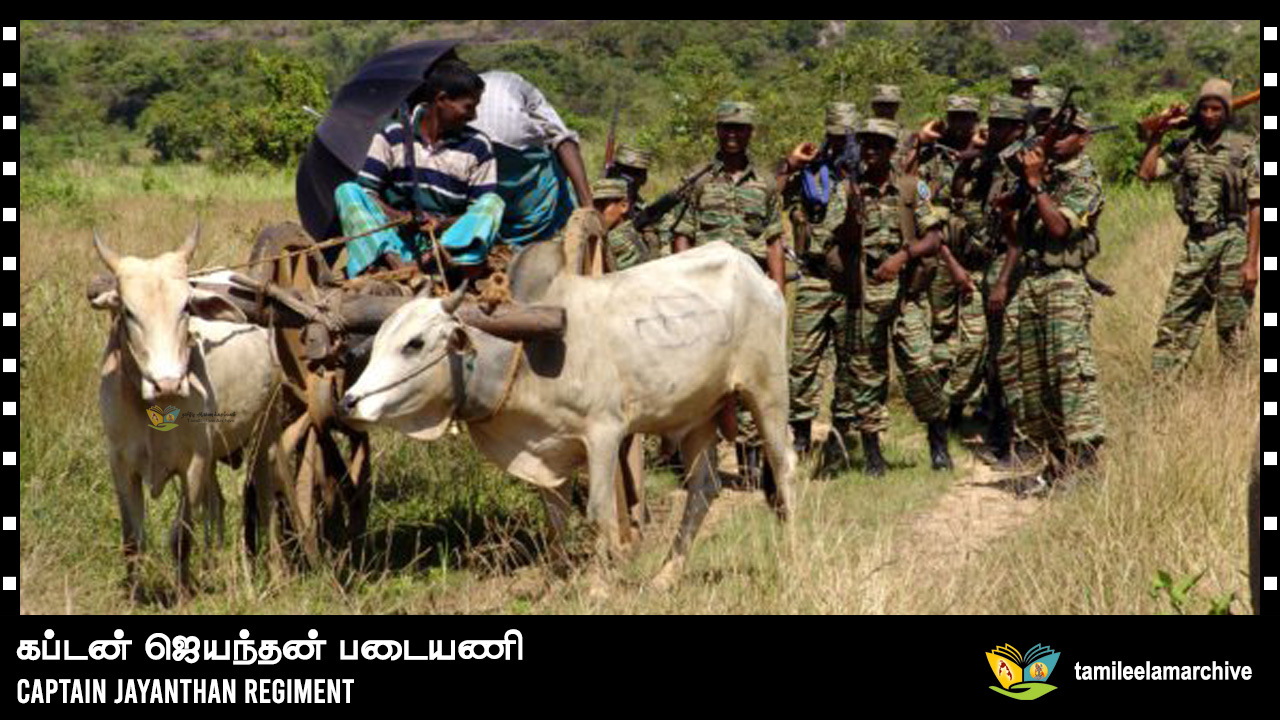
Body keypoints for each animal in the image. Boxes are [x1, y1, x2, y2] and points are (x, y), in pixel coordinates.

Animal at [90, 225, 285, 595]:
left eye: (185, 308)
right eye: (128, 312)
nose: (167, 383)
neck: (150, 406)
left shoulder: (192, 464)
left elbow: (180, 537)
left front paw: (182, 595)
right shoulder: (120, 464)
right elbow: (133, 540)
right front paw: (134, 594)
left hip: (264, 436)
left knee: (267, 502)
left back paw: (273, 569)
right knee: (217, 502)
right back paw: (210, 563)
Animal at [342, 240, 796, 589]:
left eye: (414, 343)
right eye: (376, 341)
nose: (350, 401)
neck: (521, 355)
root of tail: (752, 269)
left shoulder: (604, 433)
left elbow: (600, 512)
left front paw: (600, 586)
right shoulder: (543, 451)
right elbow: (556, 520)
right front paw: (559, 583)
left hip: (767, 389)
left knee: (783, 465)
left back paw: (790, 560)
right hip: (699, 412)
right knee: (703, 489)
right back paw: (666, 576)